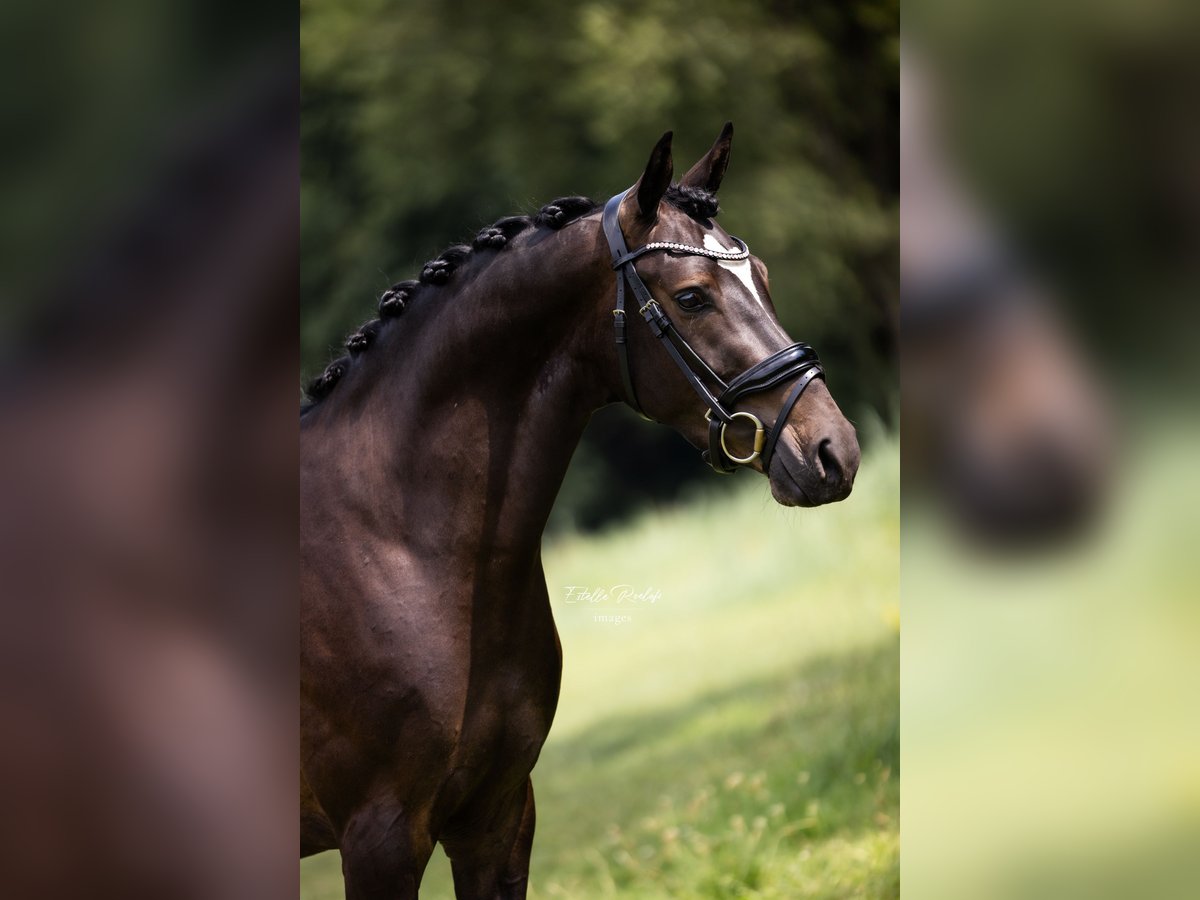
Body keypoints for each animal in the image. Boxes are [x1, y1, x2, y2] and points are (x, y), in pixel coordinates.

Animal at [304, 127, 859, 900]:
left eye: (765, 278)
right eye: (692, 297)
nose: (835, 451)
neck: (399, 542)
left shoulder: (498, 815)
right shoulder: (380, 836)